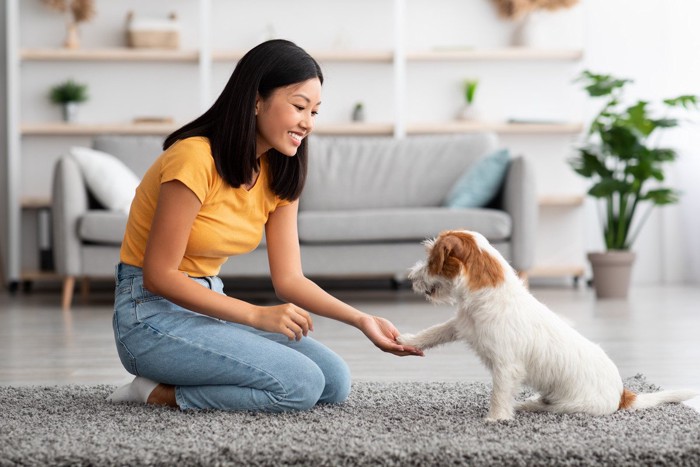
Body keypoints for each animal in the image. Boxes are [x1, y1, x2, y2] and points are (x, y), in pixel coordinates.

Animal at [396, 230, 696, 424]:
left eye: (431, 259)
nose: (409, 277)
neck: (490, 293)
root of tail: (623, 393)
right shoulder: (460, 325)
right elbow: (434, 332)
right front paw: (407, 340)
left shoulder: (506, 366)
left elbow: (499, 393)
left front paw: (496, 419)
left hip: (570, 405)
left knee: (547, 407)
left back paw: (524, 405)